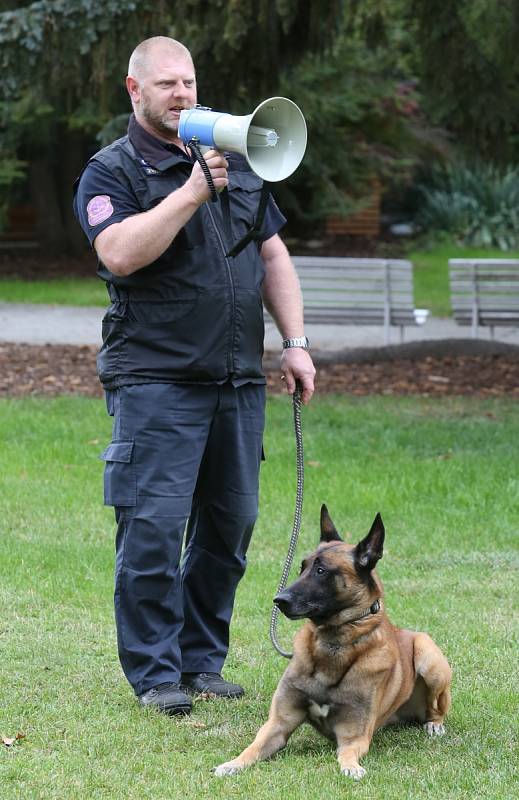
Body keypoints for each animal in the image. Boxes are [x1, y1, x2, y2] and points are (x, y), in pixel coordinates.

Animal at [213, 506, 452, 780]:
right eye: (302, 567)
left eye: (321, 571)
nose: (279, 600)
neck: (332, 646)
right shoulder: (278, 725)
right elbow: (253, 747)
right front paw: (232, 764)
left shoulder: (354, 737)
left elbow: (346, 755)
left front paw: (352, 768)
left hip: (428, 656)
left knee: (437, 708)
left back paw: (434, 725)